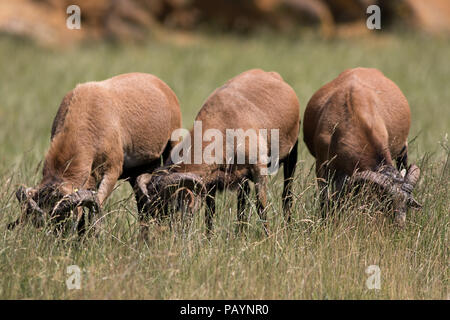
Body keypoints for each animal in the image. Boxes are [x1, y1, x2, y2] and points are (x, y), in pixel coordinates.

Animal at [135, 69, 300, 236]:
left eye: (168, 209)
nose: (162, 237)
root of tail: (271, 73)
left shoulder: (259, 168)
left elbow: (261, 205)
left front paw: (268, 237)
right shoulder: (211, 181)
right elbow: (210, 213)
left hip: (291, 155)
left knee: (286, 194)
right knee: (242, 204)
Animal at [302, 67, 422, 228]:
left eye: (407, 203)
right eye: (387, 202)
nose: (399, 227)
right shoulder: (322, 166)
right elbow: (325, 199)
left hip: (403, 149)